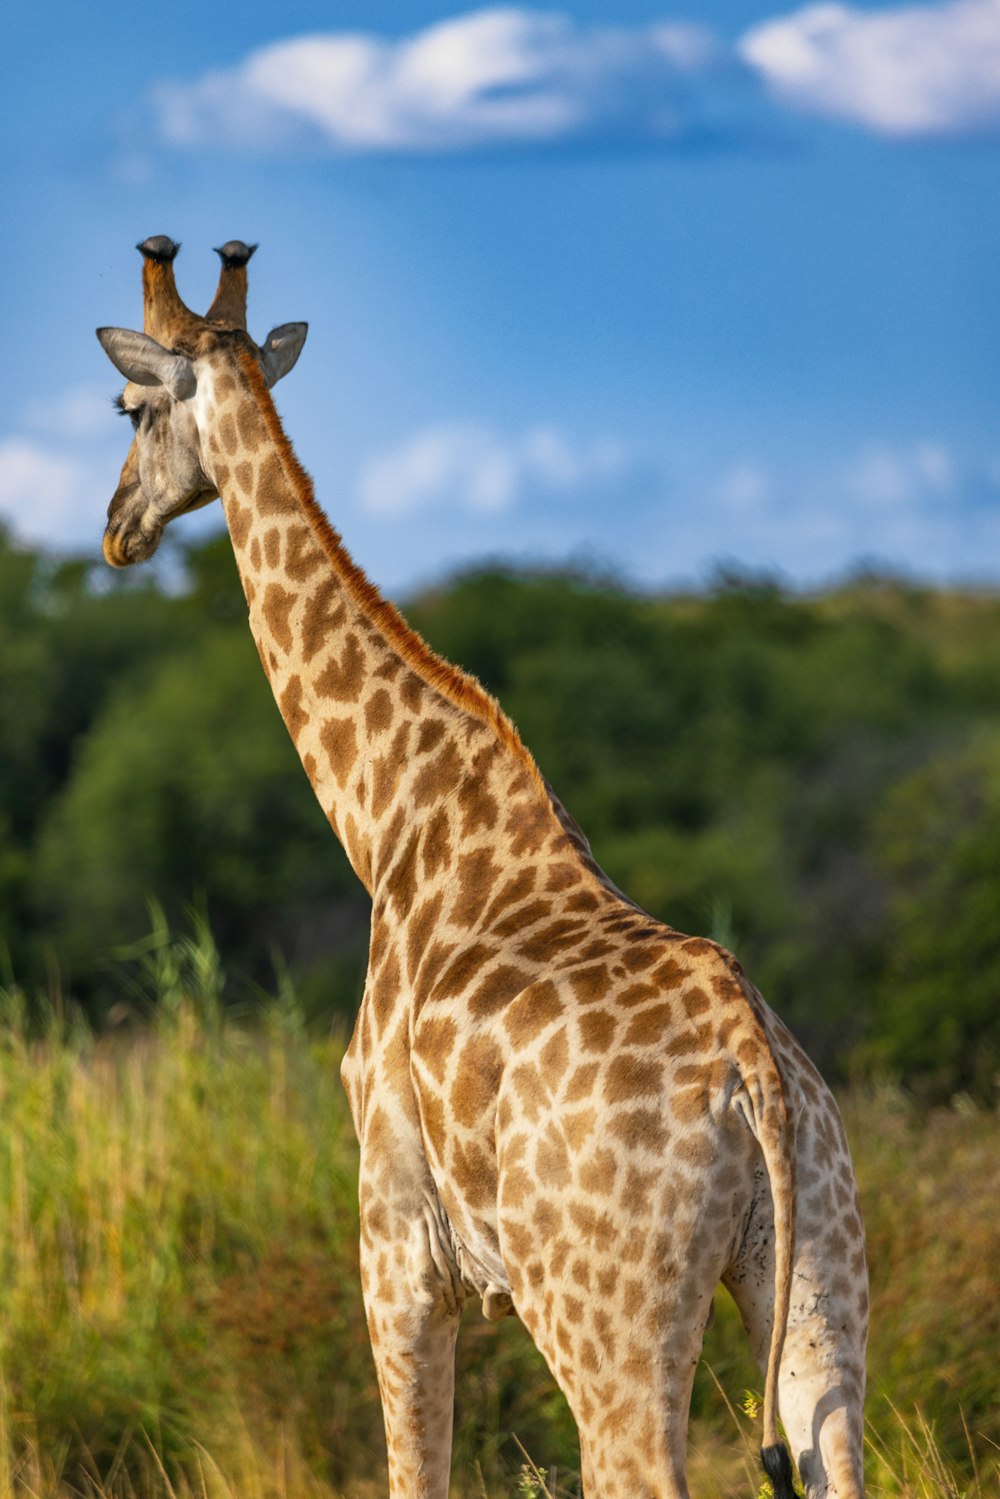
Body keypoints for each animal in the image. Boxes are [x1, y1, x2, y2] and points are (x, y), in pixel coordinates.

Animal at [95, 239, 869, 1493]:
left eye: (130, 405)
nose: (117, 525)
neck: (388, 822)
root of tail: (755, 1070)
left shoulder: (396, 1244)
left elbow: (416, 1467)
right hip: (818, 1281)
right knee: (836, 1438)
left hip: (608, 1313)